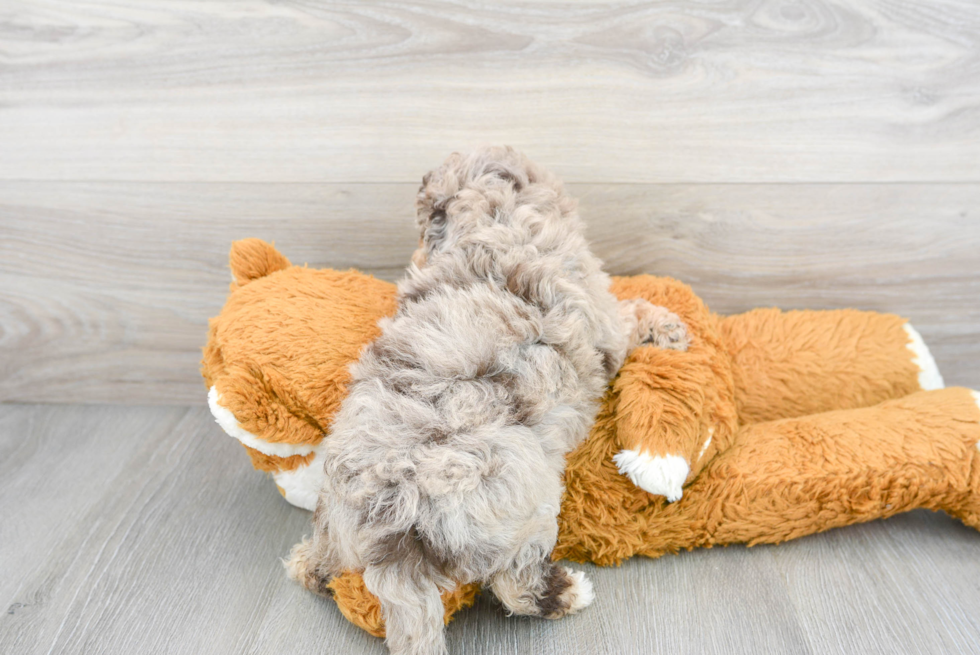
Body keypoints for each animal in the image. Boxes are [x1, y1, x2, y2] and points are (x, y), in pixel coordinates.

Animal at [284, 149, 688, 655]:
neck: (490, 218)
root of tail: (395, 523)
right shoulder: (607, 321)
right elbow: (633, 312)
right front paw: (670, 326)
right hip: (527, 511)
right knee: (515, 586)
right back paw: (569, 592)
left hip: (335, 514)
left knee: (319, 562)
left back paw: (307, 565)